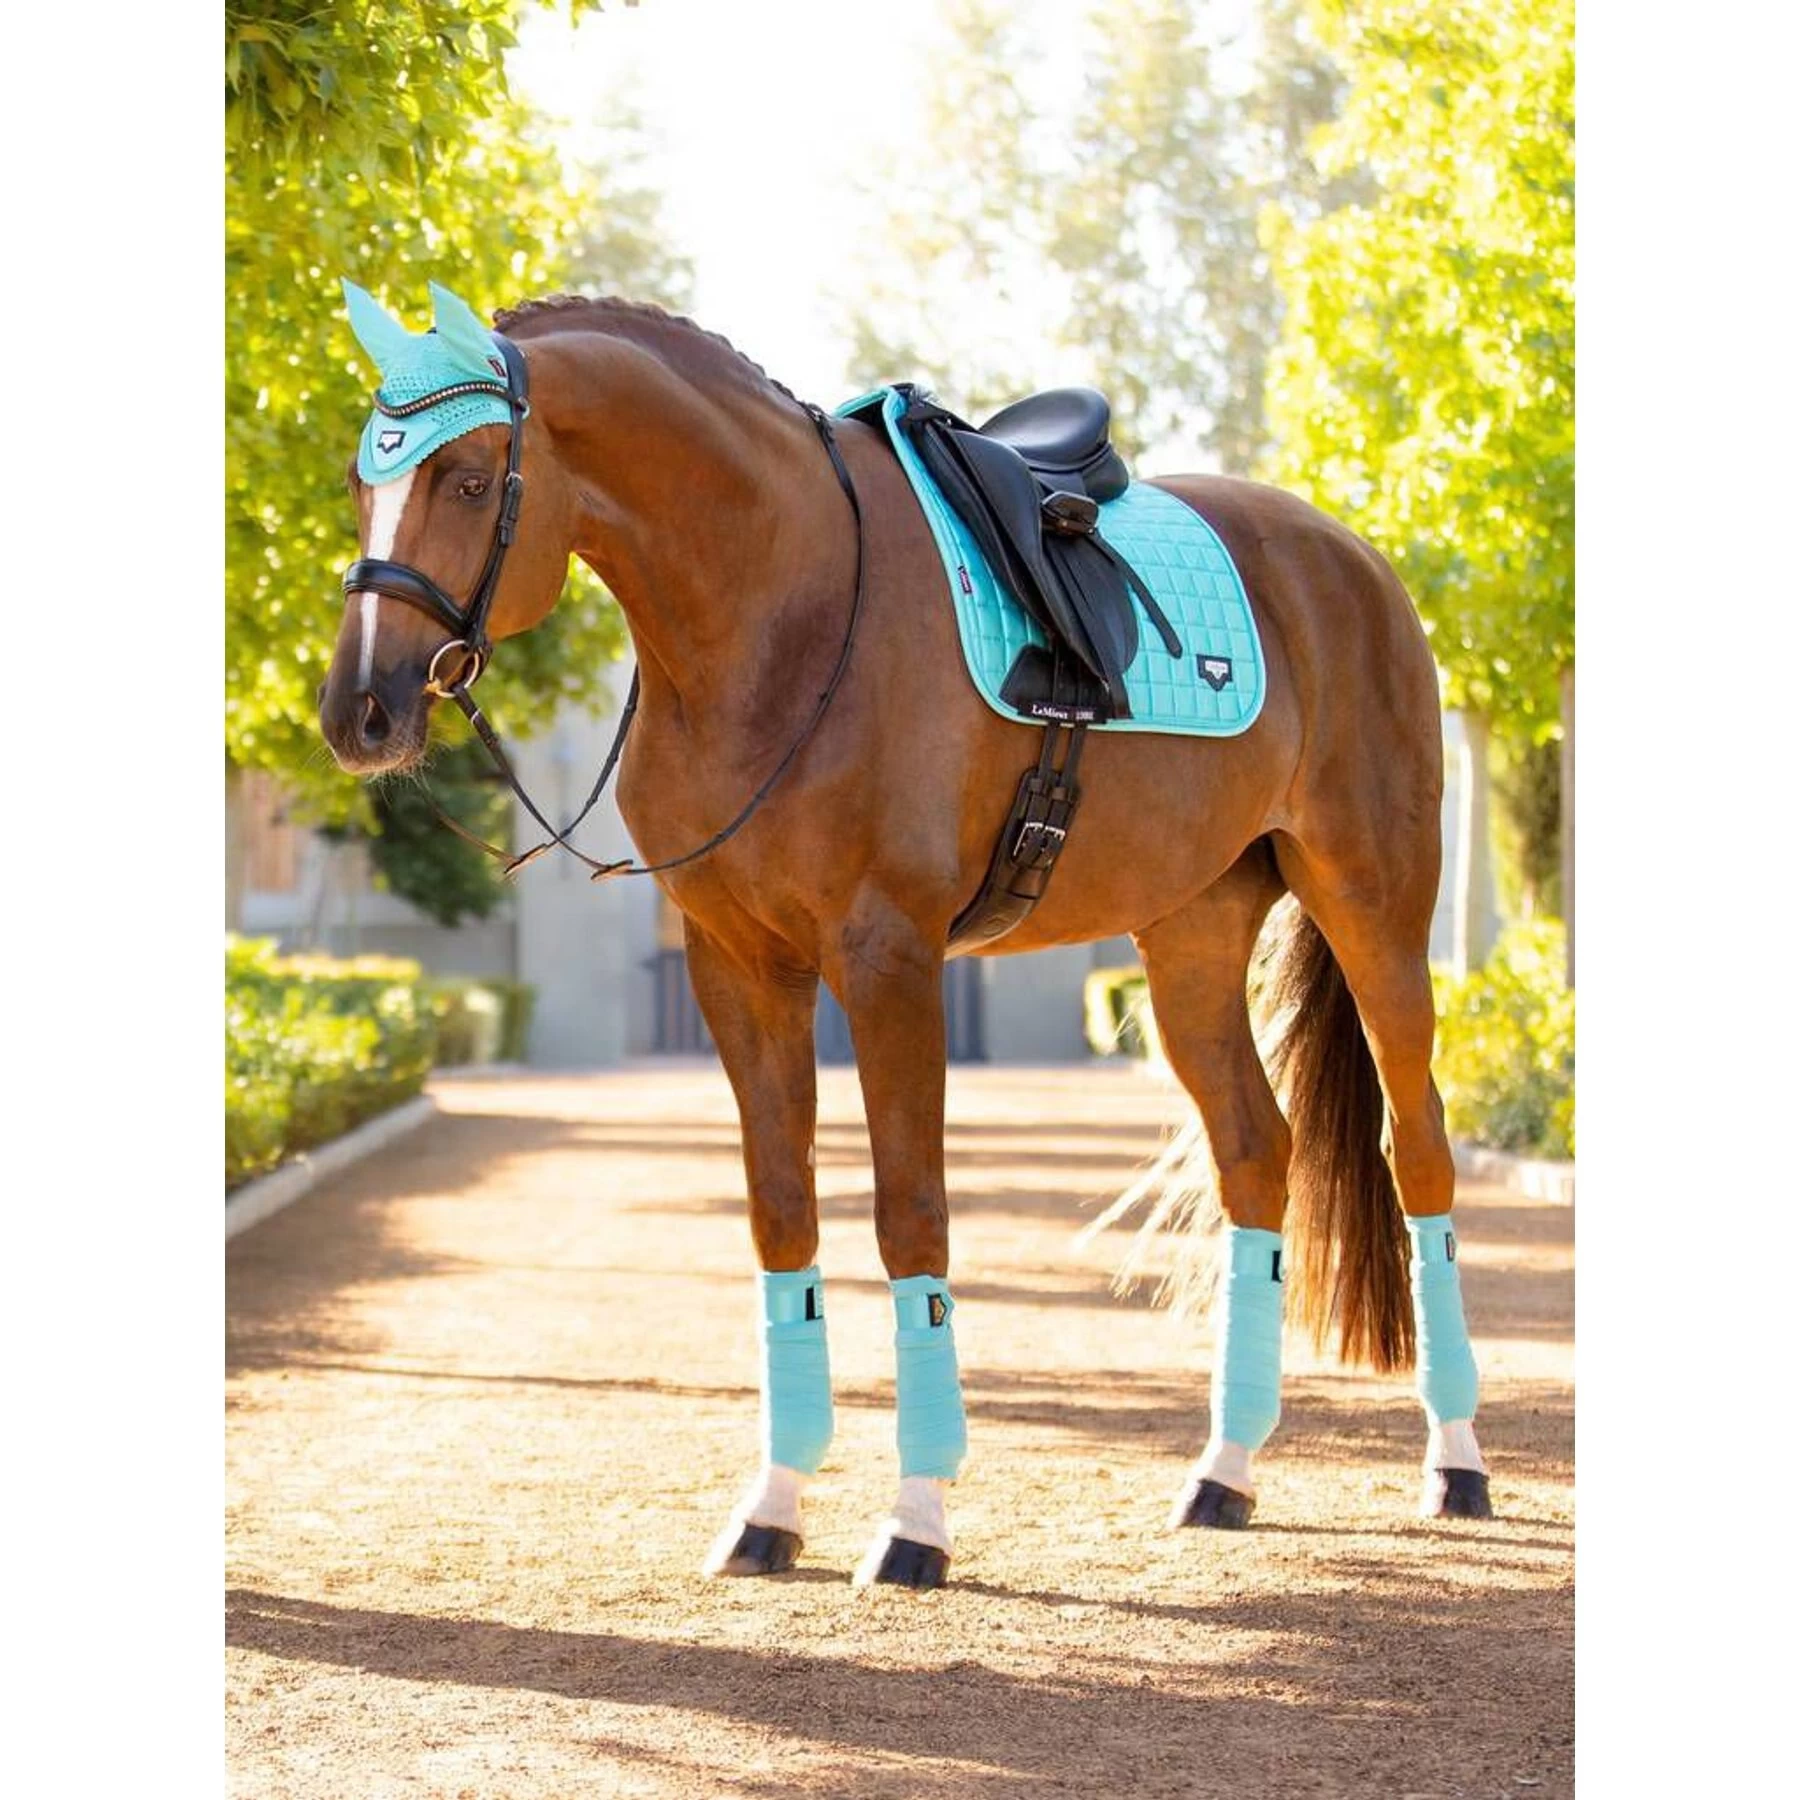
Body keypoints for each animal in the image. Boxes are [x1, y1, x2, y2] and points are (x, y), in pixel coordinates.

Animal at [317, 281, 1492, 1592]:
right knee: (1254, 1152)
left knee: (1420, 1151)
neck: (776, 602)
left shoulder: (889, 960)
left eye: (470, 477)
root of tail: (1353, 559)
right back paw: (1224, 1473)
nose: (361, 710)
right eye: (361, 478)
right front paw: (772, 1507)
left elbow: (909, 1213)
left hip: (1373, 908)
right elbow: (784, 1213)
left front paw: (917, 1520)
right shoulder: (740, 965)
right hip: (1190, 933)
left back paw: (1456, 1463)